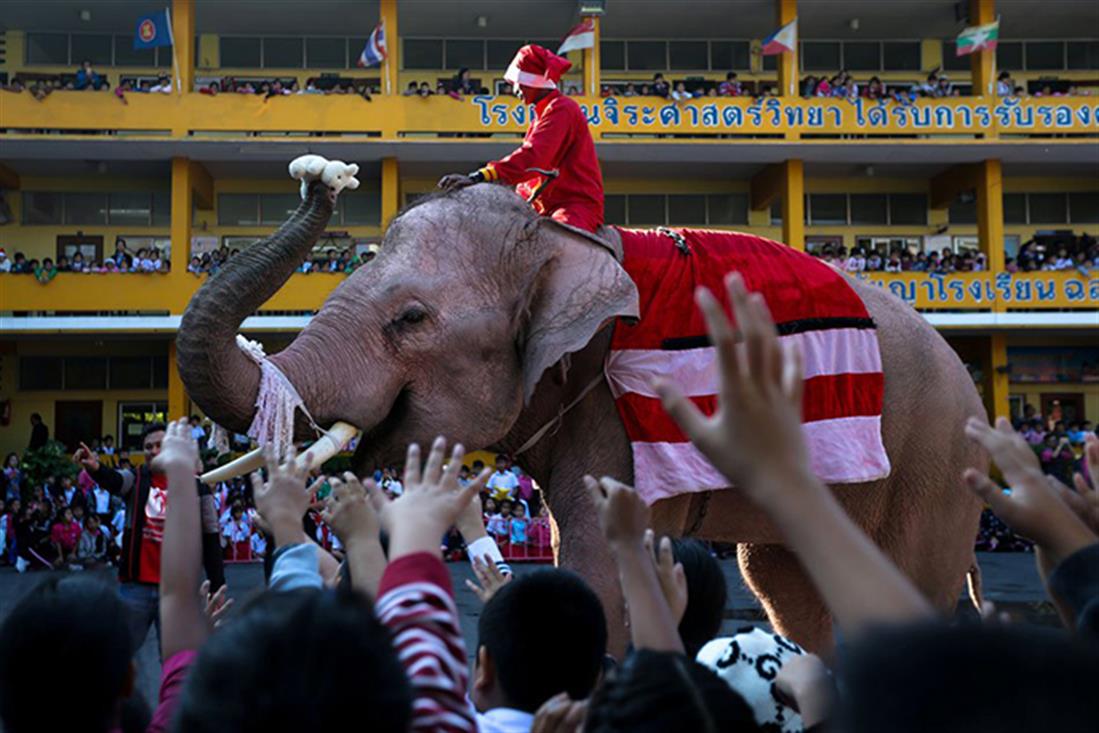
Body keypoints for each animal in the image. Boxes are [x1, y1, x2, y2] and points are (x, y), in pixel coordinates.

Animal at [180, 156, 989, 654]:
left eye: (409, 318)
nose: (321, 176)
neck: (563, 238)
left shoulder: (623, 405)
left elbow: (603, 558)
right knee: (783, 581)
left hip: (934, 458)